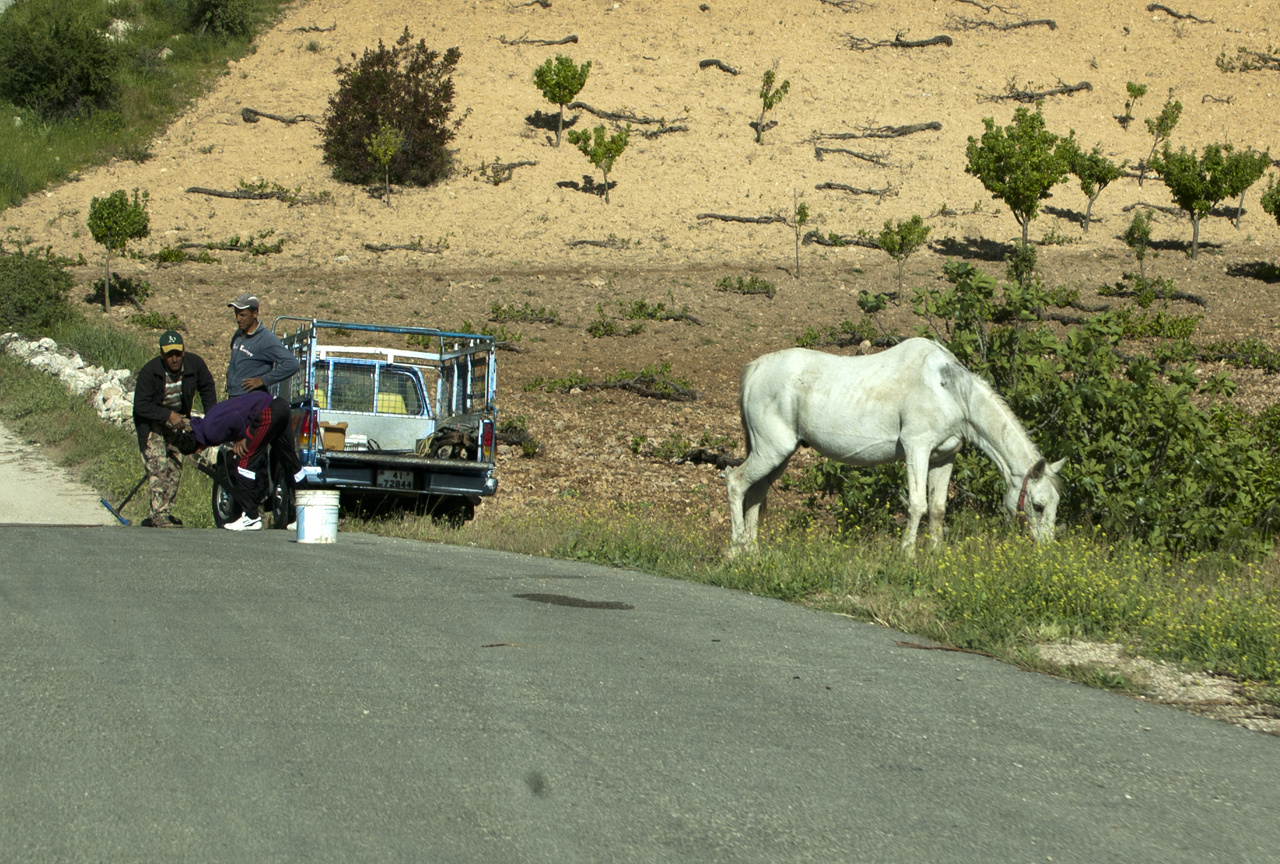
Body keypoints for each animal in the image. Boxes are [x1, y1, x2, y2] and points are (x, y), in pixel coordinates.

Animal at [727, 337, 1064, 555]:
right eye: (1038, 505)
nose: (1046, 551)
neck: (950, 391)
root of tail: (755, 368)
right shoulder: (917, 448)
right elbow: (917, 504)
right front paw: (907, 555)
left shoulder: (943, 457)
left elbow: (937, 508)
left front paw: (936, 554)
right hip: (772, 450)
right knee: (735, 483)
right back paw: (736, 548)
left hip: (777, 455)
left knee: (755, 492)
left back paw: (752, 552)